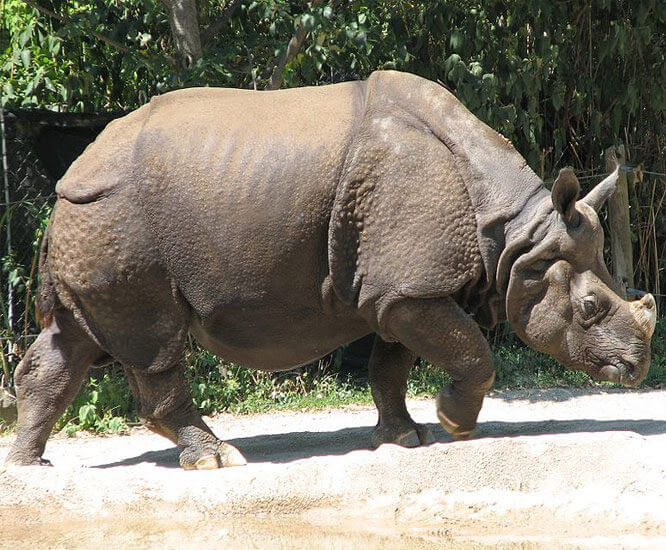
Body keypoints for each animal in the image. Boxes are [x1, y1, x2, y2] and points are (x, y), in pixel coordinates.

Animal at [6, 71, 656, 469]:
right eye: (591, 309)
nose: (638, 368)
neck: (519, 240)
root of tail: (69, 178)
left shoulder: (396, 288)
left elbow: (391, 365)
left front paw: (404, 438)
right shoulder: (412, 287)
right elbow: (473, 350)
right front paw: (454, 424)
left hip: (95, 219)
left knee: (74, 338)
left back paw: (31, 466)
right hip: (117, 217)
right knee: (153, 339)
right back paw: (216, 461)